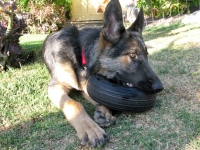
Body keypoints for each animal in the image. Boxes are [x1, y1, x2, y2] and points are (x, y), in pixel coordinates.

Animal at [41, 0, 162, 147]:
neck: (80, 55)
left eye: (147, 55)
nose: (160, 87)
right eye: (133, 55)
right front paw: (90, 129)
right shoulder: (56, 86)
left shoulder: (87, 84)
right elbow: (74, 104)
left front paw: (104, 111)